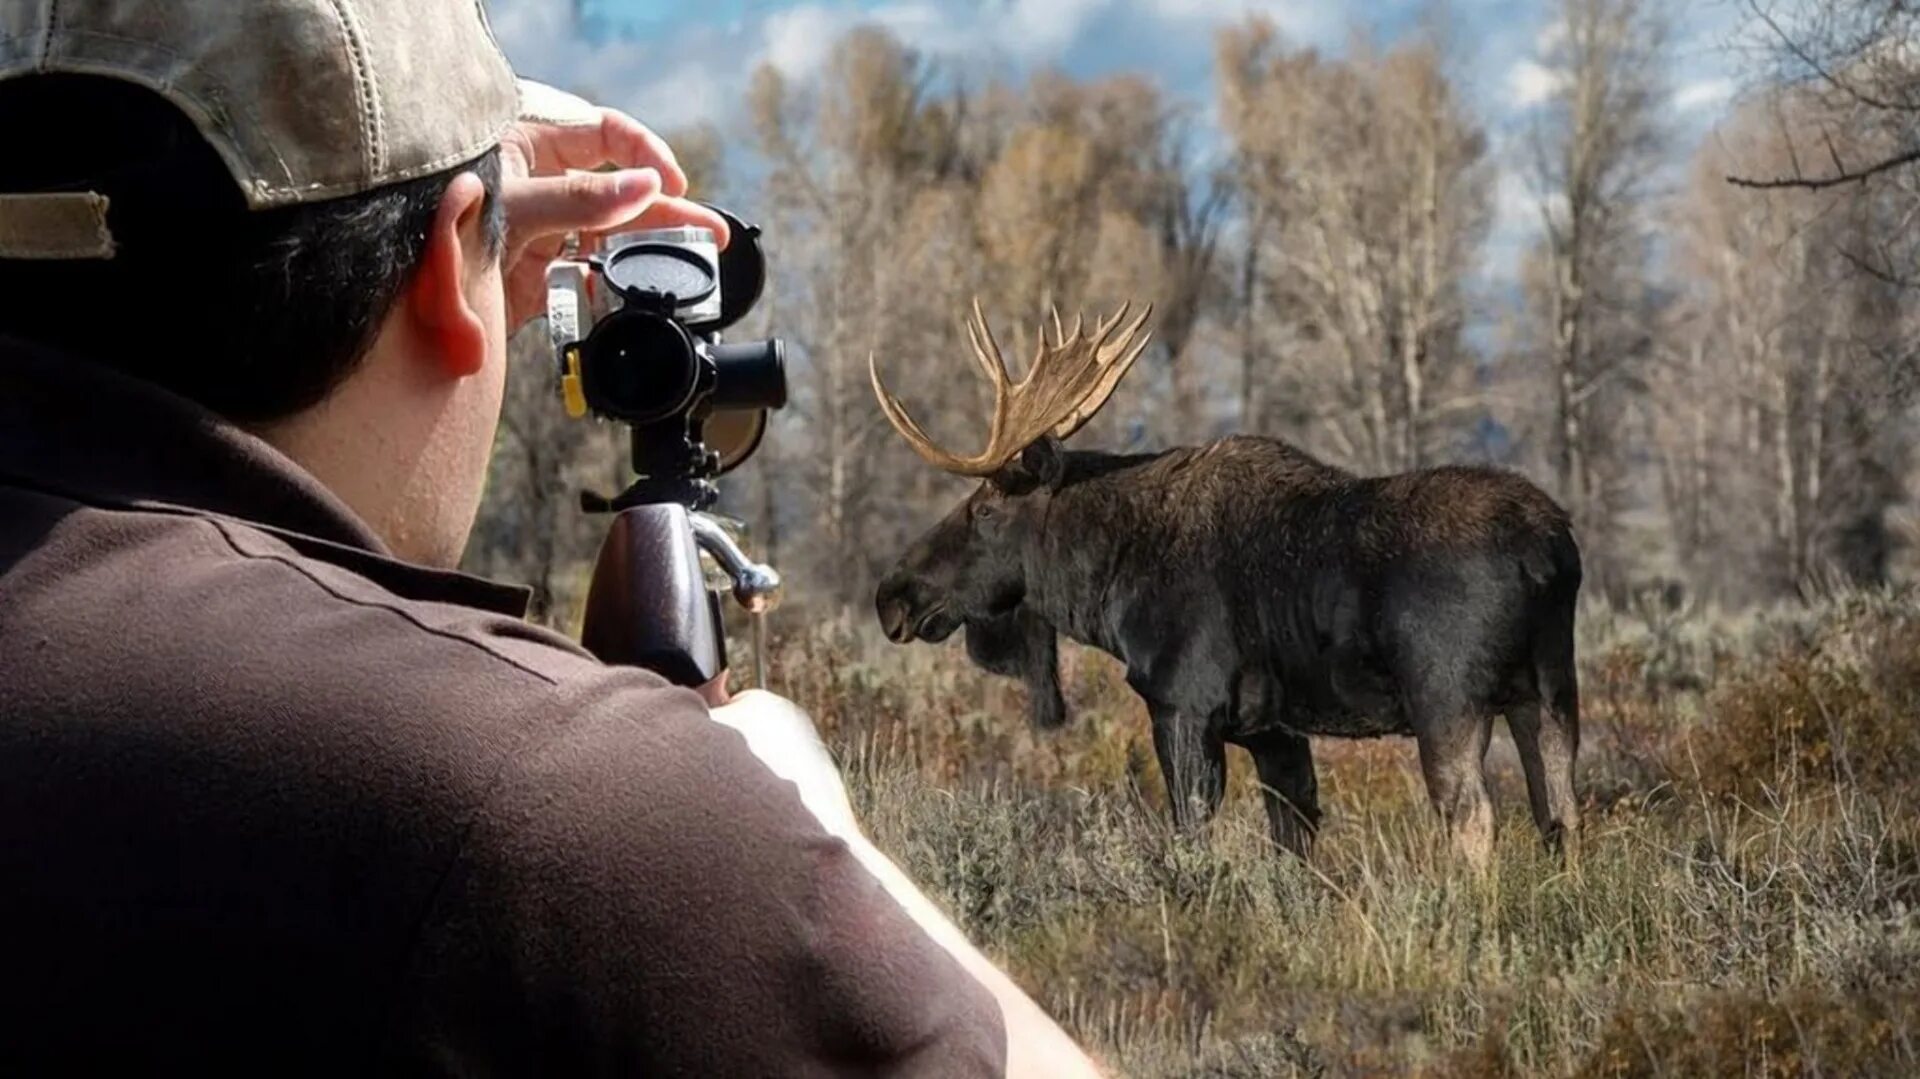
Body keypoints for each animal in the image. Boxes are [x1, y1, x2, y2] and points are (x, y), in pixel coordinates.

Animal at [879, 297, 1582, 860]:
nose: (893, 597)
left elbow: (1191, 837)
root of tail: (1550, 553)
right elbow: (1293, 847)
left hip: (1449, 697)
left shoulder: (1184, 705)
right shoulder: (1274, 732)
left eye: (985, 508)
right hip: (1549, 689)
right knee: (1560, 812)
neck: (1108, 586)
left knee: (1474, 817)